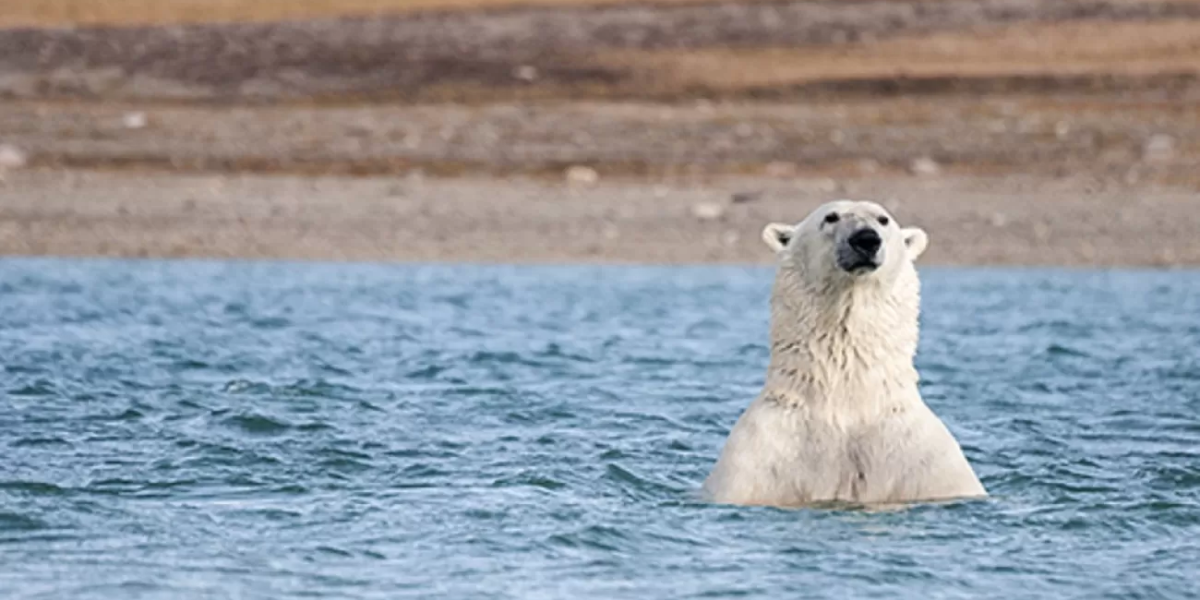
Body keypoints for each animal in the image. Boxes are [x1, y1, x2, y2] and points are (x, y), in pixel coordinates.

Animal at [700, 200, 984, 506]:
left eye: (883, 219)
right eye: (831, 217)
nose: (866, 239)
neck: (847, 404)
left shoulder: (926, 463)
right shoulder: (759, 461)